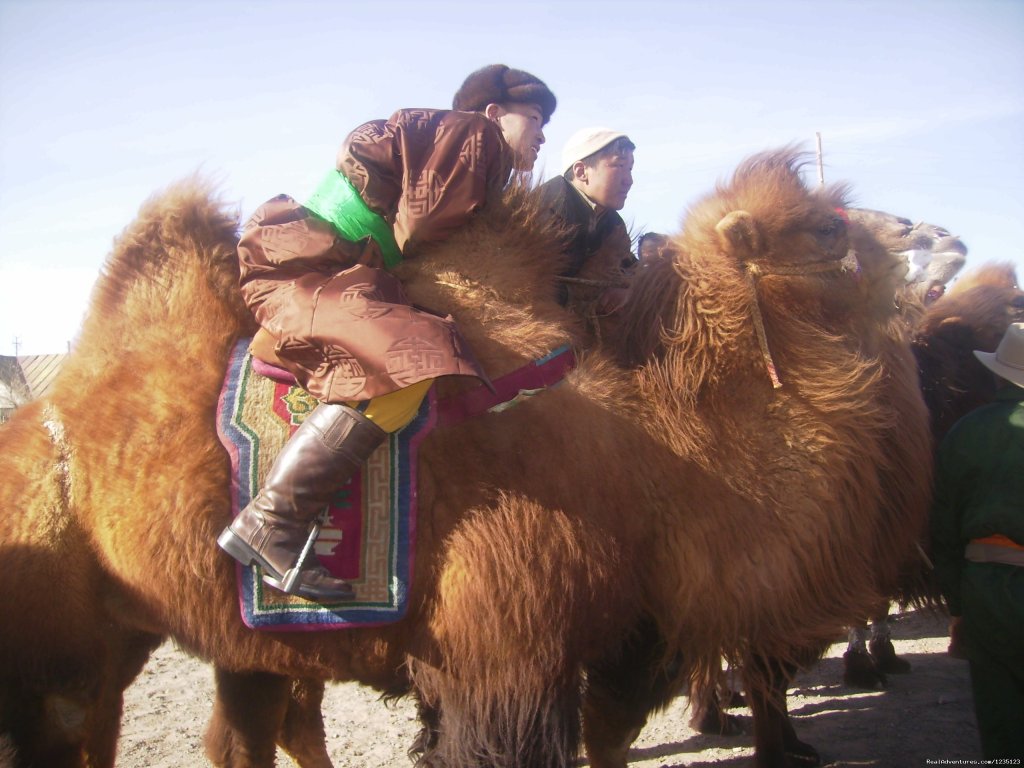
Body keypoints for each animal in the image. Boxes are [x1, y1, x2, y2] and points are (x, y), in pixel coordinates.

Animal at [0, 151, 933, 768]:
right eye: (822, 226)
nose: (920, 234)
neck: (662, 447)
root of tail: (49, 416)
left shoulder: (621, 634)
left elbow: (611, 735)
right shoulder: (505, 654)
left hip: (191, 636)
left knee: (244, 729)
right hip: (57, 657)